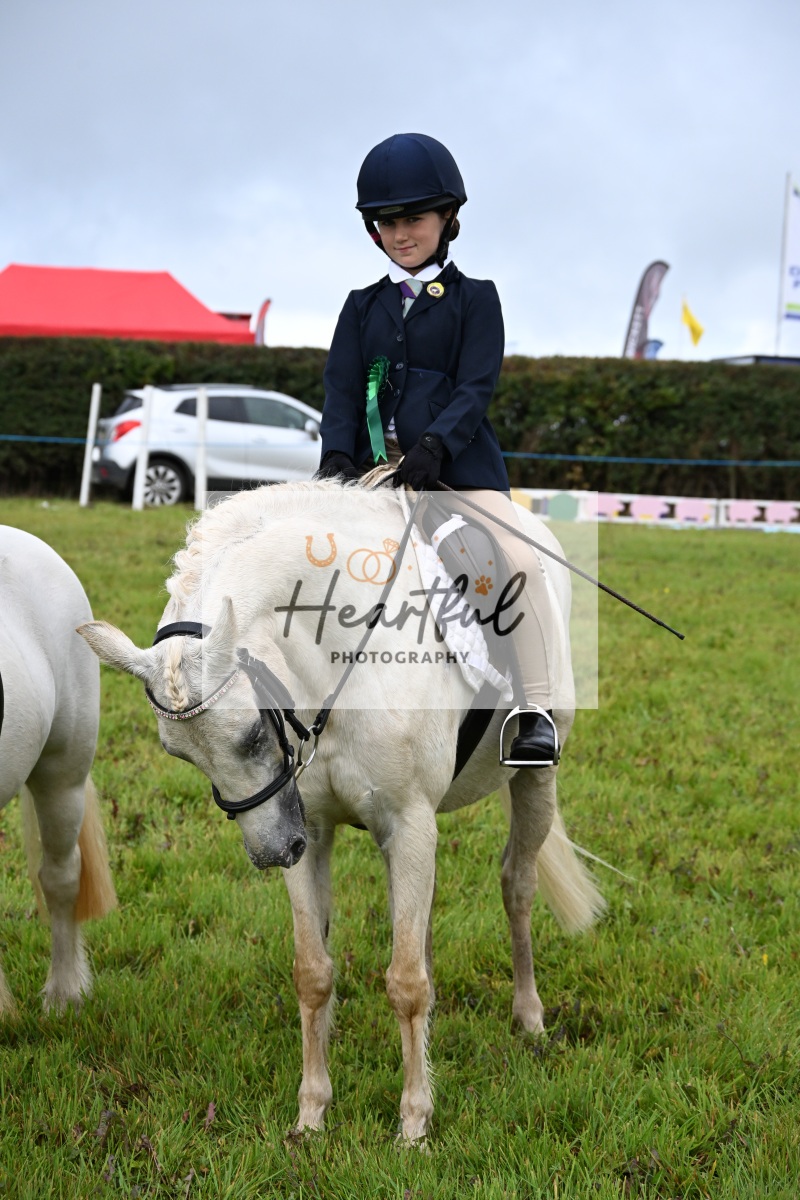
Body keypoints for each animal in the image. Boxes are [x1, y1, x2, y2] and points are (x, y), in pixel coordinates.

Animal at [78, 480, 604, 1141]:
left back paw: (529, 1018)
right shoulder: (310, 826)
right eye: (179, 754)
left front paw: (413, 1124)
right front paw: (311, 1115)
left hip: (536, 779)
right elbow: (315, 971)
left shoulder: (407, 823)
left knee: (517, 884)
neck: (342, 655)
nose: (272, 852)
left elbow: (404, 982)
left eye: (253, 732)